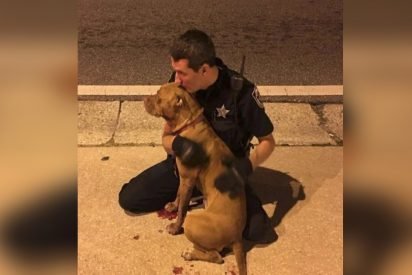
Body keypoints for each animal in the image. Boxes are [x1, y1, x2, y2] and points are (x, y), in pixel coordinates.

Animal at [144, 82, 248, 275]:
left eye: (159, 97)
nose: (144, 98)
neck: (189, 123)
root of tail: (238, 236)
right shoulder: (183, 178)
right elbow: (178, 195)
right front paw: (173, 205)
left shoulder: (187, 179)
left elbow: (182, 210)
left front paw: (175, 227)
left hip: (194, 223)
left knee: (216, 256)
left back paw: (190, 253)